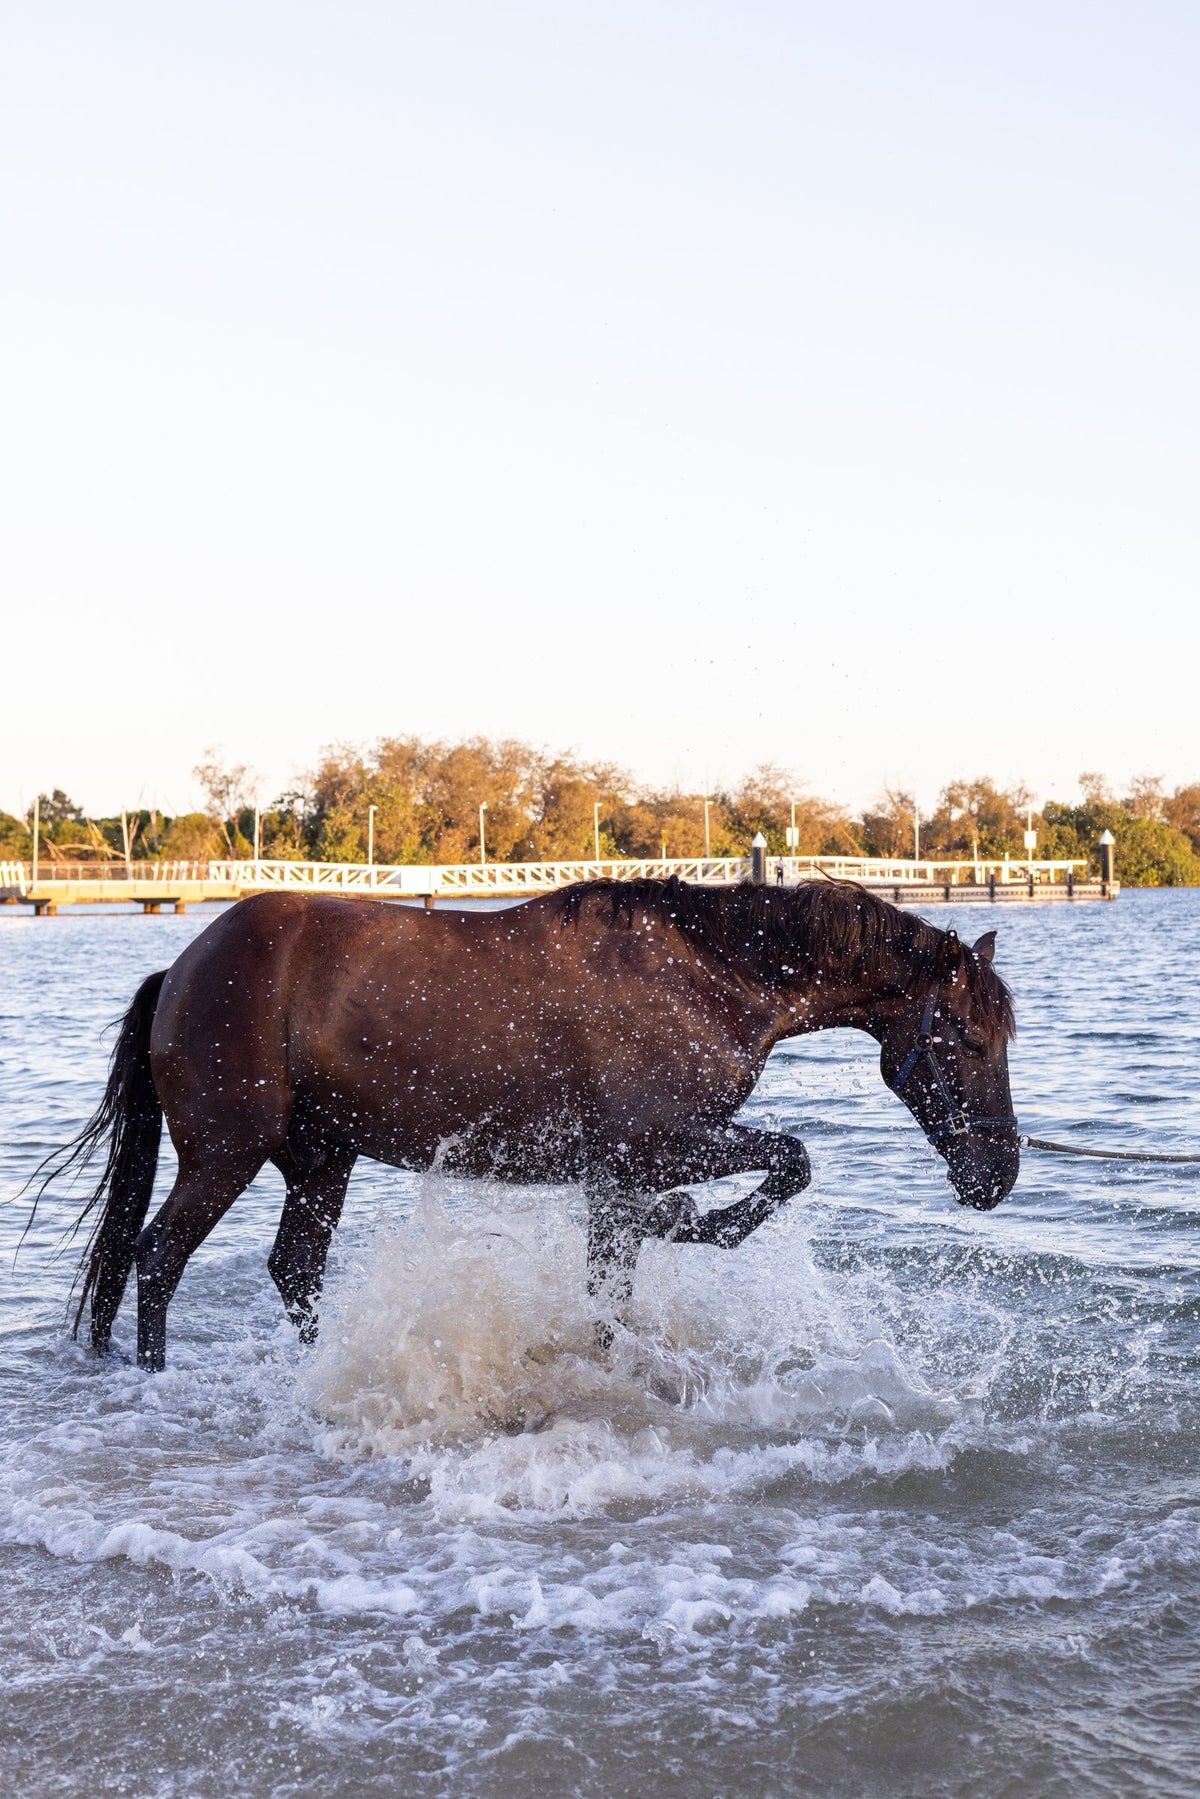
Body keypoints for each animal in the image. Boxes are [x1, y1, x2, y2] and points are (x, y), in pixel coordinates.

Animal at [43, 877, 1018, 1370]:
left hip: (321, 1161)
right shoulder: (644, 1153)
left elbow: (613, 1291)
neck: (705, 975)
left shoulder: (619, 1177)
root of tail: (181, 966)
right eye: (966, 1038)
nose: (998, 1174)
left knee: (294, 1269)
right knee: (159, 1255)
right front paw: (699, 1224)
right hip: (227, 1156)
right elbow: (791, 1160)